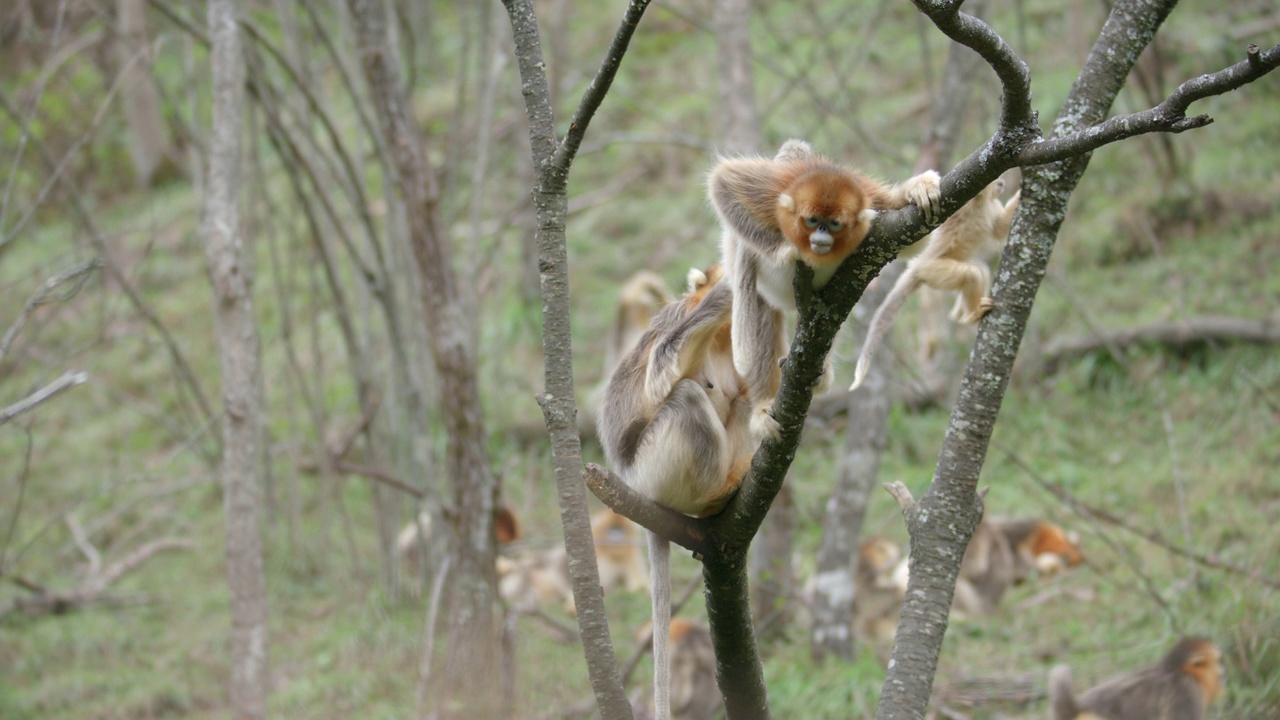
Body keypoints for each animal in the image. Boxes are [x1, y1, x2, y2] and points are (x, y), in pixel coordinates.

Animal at [596, 263, 762, 717]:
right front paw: (723, 294)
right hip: (653, 469)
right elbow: (659, 377)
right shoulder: (675, 320)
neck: (719, 340)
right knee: (685, 396)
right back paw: (714, 493)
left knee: (740, 401)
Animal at [711, 139, 942, 430]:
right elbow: (723, 181)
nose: (820, 235)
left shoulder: (871, 205)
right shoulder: (772, 191)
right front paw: (786, 251)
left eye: (834, 224)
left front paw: (914, 190)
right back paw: (763, 404)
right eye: (812, 220)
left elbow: (915, 243)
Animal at [849, 174, 1018, 389]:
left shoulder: (992, 207)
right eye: (996, 180)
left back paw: (960, 313)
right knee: (972, 274)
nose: (1002, 183)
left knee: (981, 270)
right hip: (932, 270)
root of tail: (916, 266)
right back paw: (971, 315)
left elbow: (1002, 227)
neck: (980, 203)